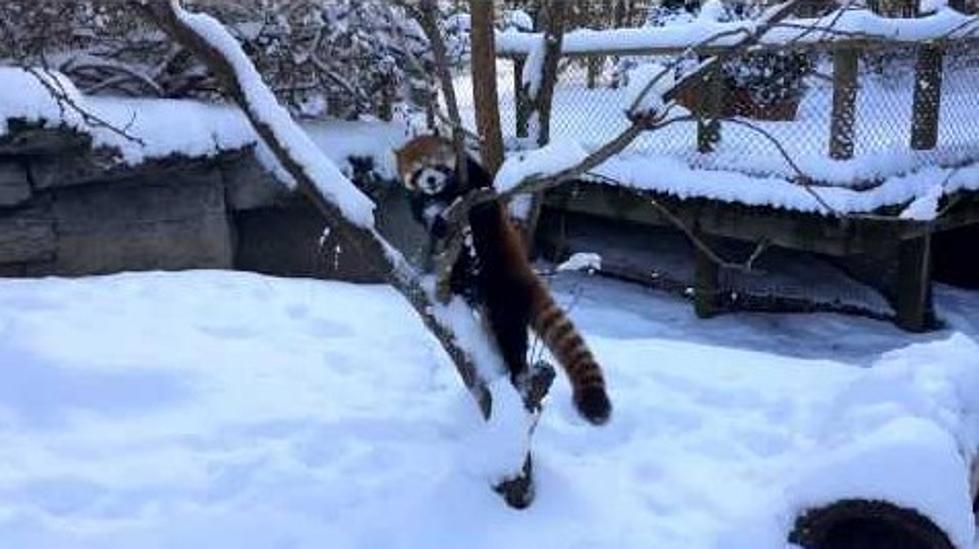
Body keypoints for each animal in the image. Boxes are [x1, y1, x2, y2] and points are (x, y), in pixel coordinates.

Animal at [392, 135, 608, 426]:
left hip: (504, 290)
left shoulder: (476, 182)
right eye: (418, 171)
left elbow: (483, 195)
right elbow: (429, 220)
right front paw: (437, 225)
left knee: (511, 335)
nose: (431, 180)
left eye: (437, 166)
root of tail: (522, 271)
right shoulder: (421, 204)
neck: (442, 195)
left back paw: (518, 370)